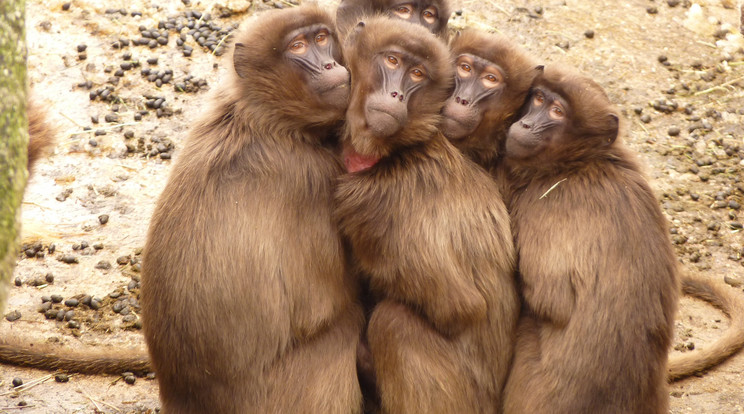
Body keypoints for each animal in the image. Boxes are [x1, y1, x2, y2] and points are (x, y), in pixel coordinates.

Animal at [141, 5, 364, 414]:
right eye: (298, 46)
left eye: (321, 38)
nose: (329, 65)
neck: (265, 120)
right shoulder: (311, 177)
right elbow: (325, 306)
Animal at [338, 18, 516, 414]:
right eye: (392, 61)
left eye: (417, 74)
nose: (396, 95)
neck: (398, 151)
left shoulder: (381, 204)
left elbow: (458, 307)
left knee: (394, 322)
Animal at [502, 64, 676, 414]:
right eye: (538, 98)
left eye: (556, 111)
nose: (525, 123)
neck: (579, 163)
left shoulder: (547, 204)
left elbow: (550, 300)